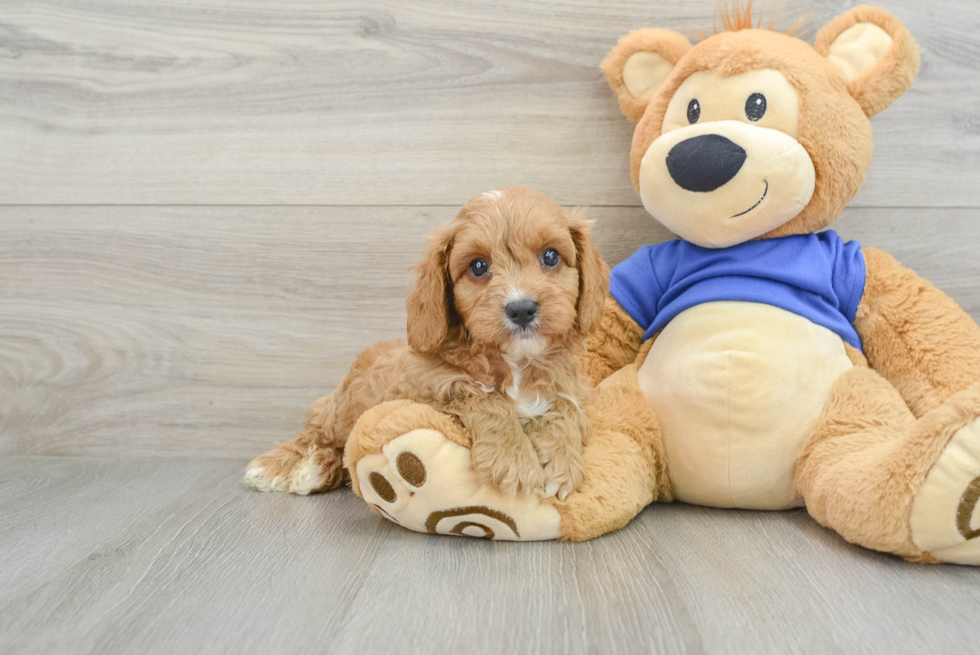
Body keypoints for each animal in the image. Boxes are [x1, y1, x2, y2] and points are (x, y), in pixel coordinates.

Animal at [245, 187, 608, 500]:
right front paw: (514, 461)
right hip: (340, 409)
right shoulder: (423, 388)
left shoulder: (571, 386)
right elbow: (481, 397)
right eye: (478, 266)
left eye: (551, 256)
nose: (521, 309)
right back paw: (282, 466)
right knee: (316, 430)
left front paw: (561, 463)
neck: (515, 363)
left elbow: (566, 409)